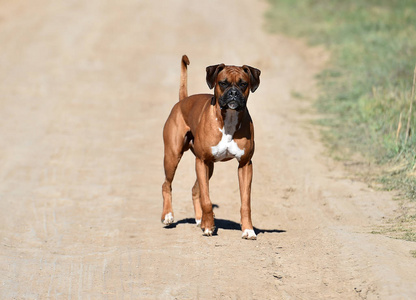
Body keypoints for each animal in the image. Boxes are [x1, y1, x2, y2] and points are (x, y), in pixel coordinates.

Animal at [162, 55, 260, 239]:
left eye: (243, 84)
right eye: (223, 83)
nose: (233, 93)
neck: (228, 119)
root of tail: (183, 100)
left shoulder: (245, 165)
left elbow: (246, 202)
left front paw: (248, 229)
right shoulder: (201, 161)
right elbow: (207, 200)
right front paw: (208, 227)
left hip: (209, 167)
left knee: (195, 190)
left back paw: (199, 219)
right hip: (173, 156)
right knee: (167, 185)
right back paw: (168, 216)